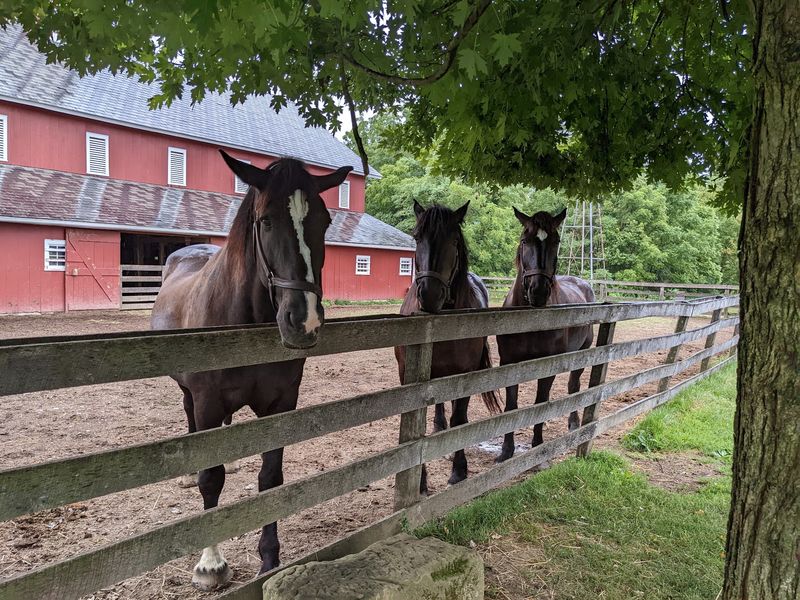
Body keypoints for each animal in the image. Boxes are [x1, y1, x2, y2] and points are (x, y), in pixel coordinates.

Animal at [150, 151, 351, 590]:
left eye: (325, 220)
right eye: (266, 220)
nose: (304, 322)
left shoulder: (281, 404)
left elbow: (270, 478)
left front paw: (269, 559)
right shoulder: (207, 402)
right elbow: (211, 477)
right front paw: (210, 564)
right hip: (189, 395)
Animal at [395, 201, 501, 490]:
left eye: (453, 240)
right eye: (417, 237)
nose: (429, 295)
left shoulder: (464, 375)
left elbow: (459, 420)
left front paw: (459, 470)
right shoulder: (408, 376)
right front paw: (419, 481)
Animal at [495, 207, 595, 462]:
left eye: (556, 241)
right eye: (524, 240)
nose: (538, 291)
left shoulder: (547, 367)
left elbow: (540, 403)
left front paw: (537, 446)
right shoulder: (509, 364)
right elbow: (511, 406)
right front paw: (506, 451)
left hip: (581, 353)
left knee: (573, 386)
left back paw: (573, 423)